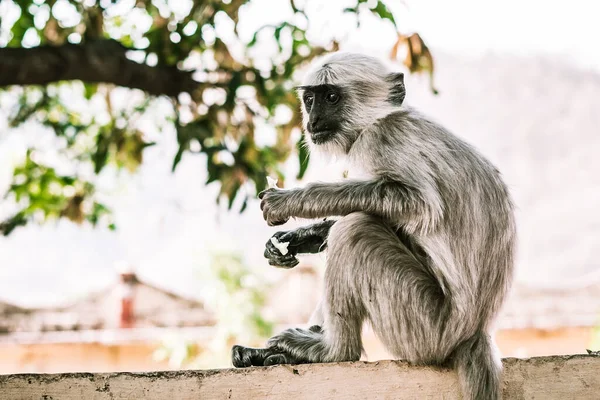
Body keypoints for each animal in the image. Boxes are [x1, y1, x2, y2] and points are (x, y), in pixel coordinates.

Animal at [230, 53, 516, 400]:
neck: (379, 119)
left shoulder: (383, 137)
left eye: (331, 97)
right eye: (310, 99)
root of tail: (475, 332)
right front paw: (303, 237)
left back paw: (332, 351)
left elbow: (417, 203)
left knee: (356, 230)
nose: (313, 120)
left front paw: (289, 201)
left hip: (423, 327)